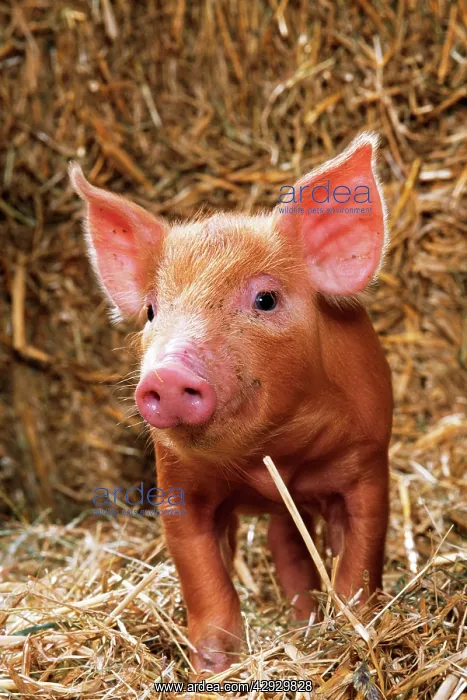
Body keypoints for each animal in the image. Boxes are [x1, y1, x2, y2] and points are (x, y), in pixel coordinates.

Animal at [70, 132, 392, 674]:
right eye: (152, 310)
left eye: (266, 299)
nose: (168, 374)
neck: (270, 457)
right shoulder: (179, 485)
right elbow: (203, 578)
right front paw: (215, 666)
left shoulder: (367, 465)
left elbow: (359, 562)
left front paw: (355, 631)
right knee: (283, 548)